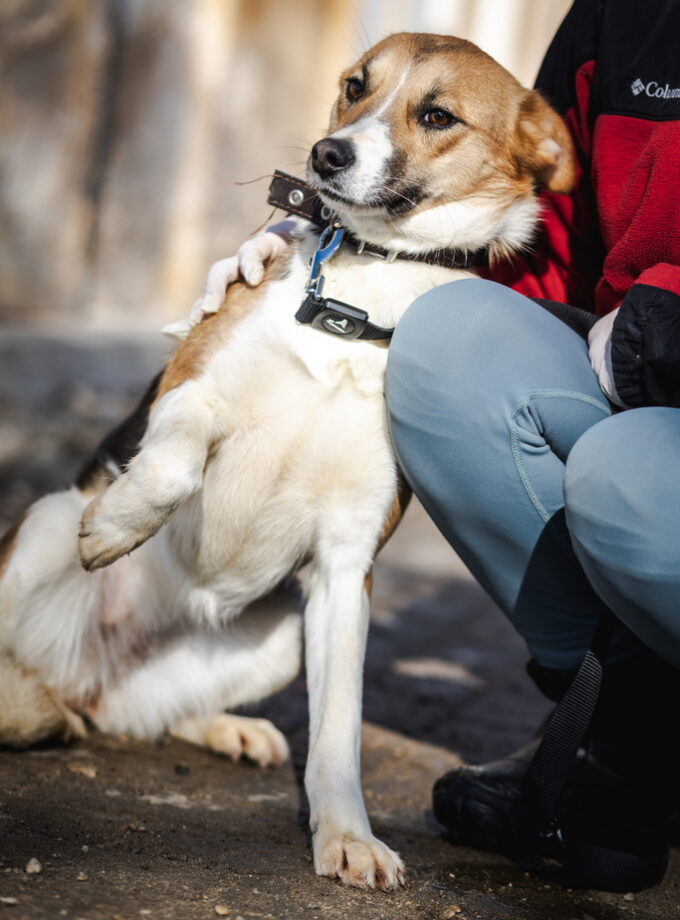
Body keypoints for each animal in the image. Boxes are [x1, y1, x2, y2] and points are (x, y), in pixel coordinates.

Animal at [0, 32, 574, 890]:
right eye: (355, 86)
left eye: (437, 115)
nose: (326, 154)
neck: (360, 301)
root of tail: (75, 672)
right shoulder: (191, 385)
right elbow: (173, 463)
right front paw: (120, 524)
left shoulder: (345, 568)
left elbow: (338, 732)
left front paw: (347, 838)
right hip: (39, 529)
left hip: (276, 644)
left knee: (138, 715)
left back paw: (226, 728)